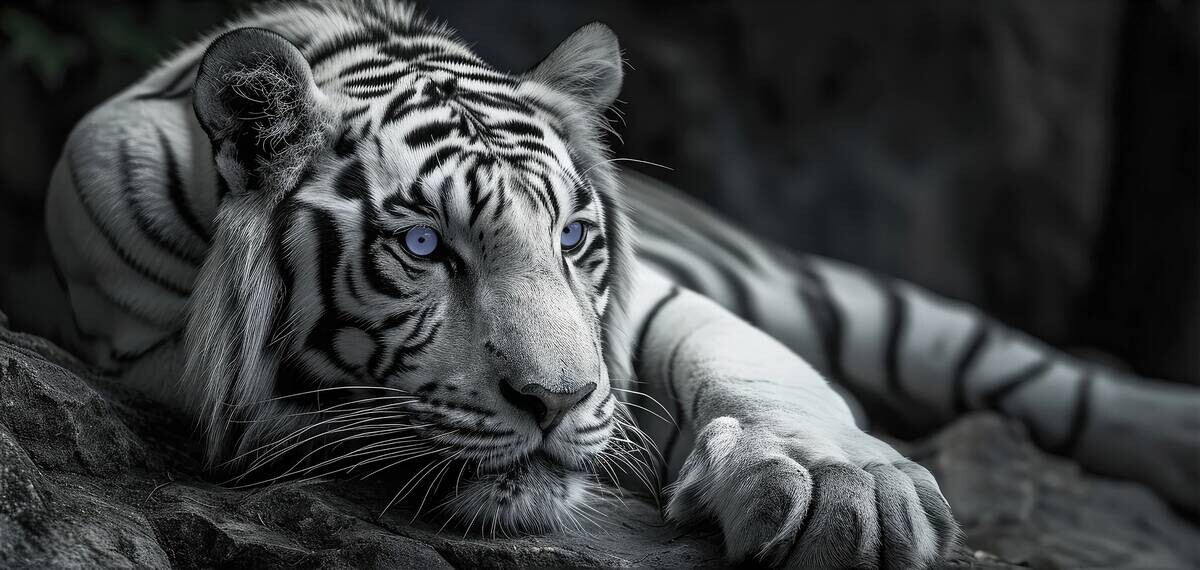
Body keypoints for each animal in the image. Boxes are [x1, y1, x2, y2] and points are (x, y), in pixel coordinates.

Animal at [40, 0, 1198, 568]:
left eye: (573, 240)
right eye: (421, 247)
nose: (557, 404)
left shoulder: (658, 307)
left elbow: (753, 368)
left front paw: (845, 491)